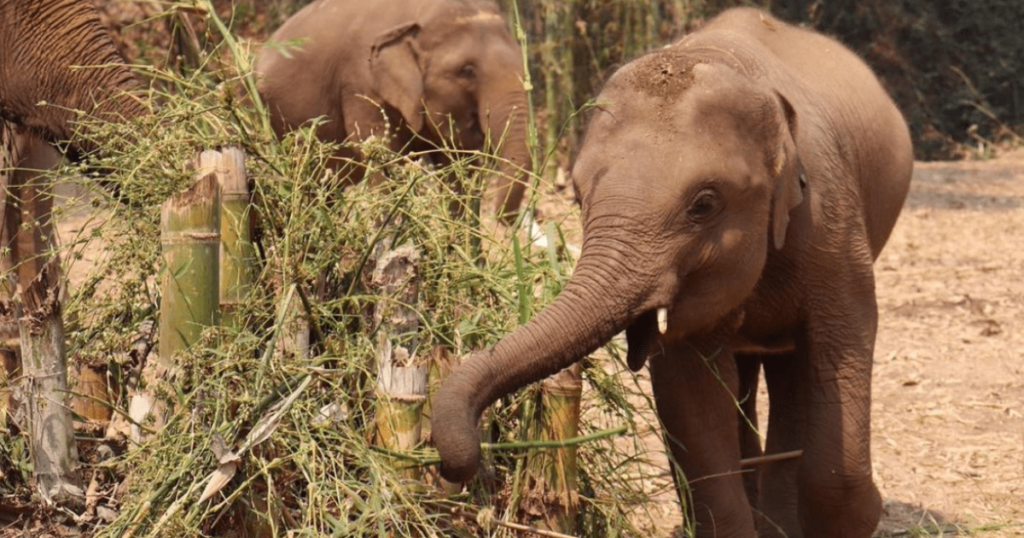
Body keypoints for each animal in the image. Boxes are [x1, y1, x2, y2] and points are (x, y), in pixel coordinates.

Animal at [432, 8, 913, 536]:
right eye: (577, 195)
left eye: (704, 204)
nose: (460, 464)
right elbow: (694, 408)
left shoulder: (831, 227)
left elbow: (842, 353)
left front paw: (862, 507)